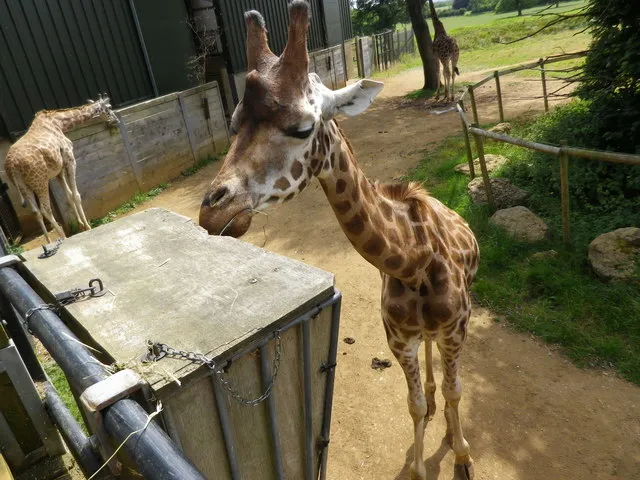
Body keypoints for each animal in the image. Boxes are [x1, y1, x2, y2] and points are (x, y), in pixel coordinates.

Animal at [5, 96, 117, 243]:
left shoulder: (58, 171)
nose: (116, 120)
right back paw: (63, 237)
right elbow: (76, 195)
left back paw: (49, 242)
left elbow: (68, 196)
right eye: (109, 107)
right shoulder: (70, 160)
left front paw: (80, 224)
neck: (59, 123)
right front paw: (87, 226)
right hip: (40, 182)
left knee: (36, 212)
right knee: (45, 209)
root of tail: (11, 167)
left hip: (24, 186)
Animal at [198, 2, 479, 479]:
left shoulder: (456, 329)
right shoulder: (399, 339)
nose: (212, 212)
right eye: (233, 124)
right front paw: (423, 458)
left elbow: (457, 391)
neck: (414, 260)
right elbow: (414, 404)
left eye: (301, 127)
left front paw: (461, 456)